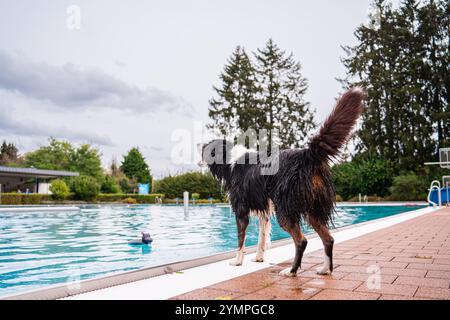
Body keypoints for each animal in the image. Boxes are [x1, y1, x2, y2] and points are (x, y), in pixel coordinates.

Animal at [202, 89, 364, 276]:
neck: (231, 159)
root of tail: (307, 155)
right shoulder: (264, 211)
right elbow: (262, 237)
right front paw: (259, 258)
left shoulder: (241, 210)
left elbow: (241, 240)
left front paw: (237, 261)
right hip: (312, 208)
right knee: (328, 238)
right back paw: (324, 269)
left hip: (286, 209)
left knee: (302, 240)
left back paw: (291, 271)